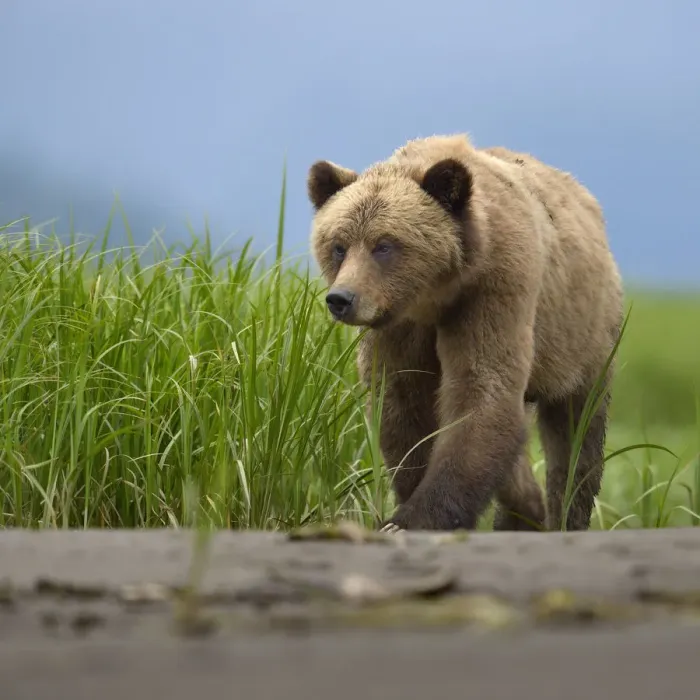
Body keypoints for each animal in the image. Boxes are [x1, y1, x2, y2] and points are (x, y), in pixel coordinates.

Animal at [306, 133, 624, 533]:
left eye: (384, 245)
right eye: (338, 245)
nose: (342, 299)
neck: (434, 296)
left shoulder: (494, 288)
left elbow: (481, 391)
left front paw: (409, 519)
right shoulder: (399, 326)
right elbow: (402, 406)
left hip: (583, 336)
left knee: (576, 434)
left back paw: (564, 513)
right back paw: (523, 509)